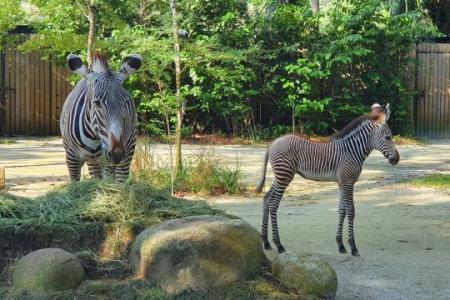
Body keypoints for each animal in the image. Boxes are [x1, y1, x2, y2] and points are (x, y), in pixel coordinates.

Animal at [59, 52, 141, 182]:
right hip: (94, 162)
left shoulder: (115, 160)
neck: (96, 137)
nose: (117, 154)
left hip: (124, 156)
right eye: (97, 103)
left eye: (125, 103)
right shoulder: (72, 159)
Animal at [255, 103, 400, 255]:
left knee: (267, 198)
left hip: (280, 176)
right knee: (273, 204)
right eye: (388, 137)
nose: (397, 159)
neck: (351, 151)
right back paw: (279, 244)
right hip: (284, 175)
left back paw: (266, 242)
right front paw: (353, 247)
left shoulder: (342, 183)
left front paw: (341, 245)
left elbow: (342, 210)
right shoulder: (349, 182)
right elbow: (351, 211)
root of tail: (273, 143)